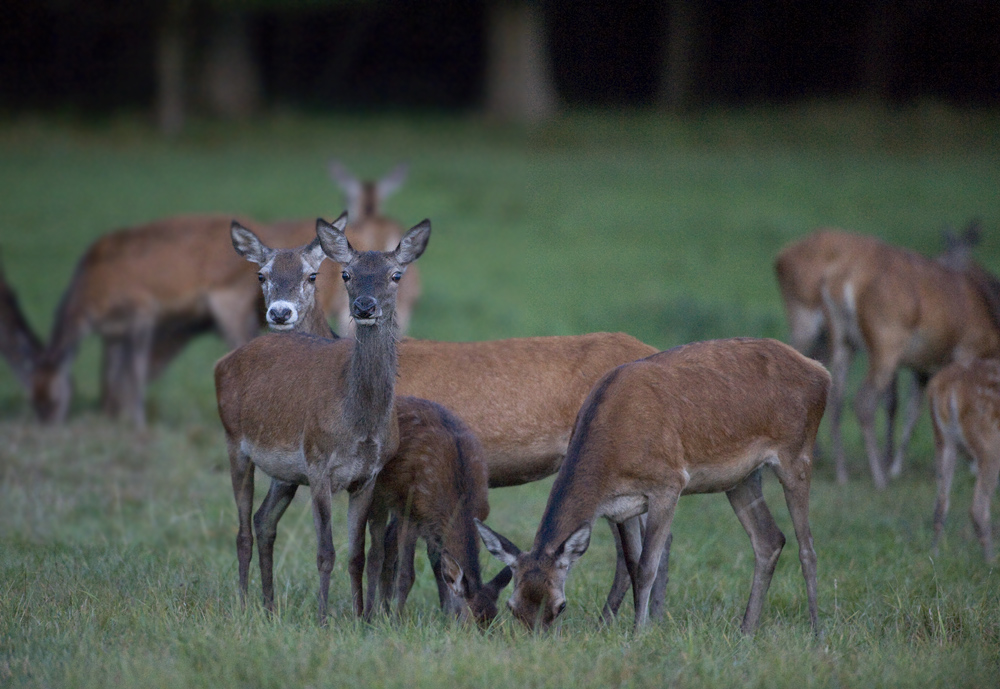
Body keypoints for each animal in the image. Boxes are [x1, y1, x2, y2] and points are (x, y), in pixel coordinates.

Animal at [215, 216, 426, 624]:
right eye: (346, 274)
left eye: (396, 274)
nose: (364, 306)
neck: (359, 424)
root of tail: (223, 362)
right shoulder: (318, 466)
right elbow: (326, 551)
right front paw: (324, 618)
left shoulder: (367, 477)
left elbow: (358, 554)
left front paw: (362, 619)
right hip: (235, 443)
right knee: (243, 528)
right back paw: (245, 604)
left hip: (283, 471)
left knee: (264, 520)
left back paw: (269, 605)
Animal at [364, 396, 512, 628]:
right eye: (472, 619)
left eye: (494, 619)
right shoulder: (410, 512)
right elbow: (407, 575)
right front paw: (398, 621)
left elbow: (442, 573)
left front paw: (447, 619)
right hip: (377, 493)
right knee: (375, 554)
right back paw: (370, 616)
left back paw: (383, 612)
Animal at [476, 336, 828, 632]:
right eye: (512, 606)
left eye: (560, 606)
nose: (536, 640)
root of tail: (820, 372)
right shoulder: (620, 507)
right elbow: (632, 564)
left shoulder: (668, 483)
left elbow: (647, 566)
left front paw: (639, 633)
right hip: (742, 479)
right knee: (769, 540)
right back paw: (746, 630)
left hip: (797, 454)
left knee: (808, 547)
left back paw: (816, 630)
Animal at [924, 358, 1000, 560]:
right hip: (990, 442)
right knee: (978, 508)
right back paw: (990, 560)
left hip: (943, 439)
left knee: (940, 503)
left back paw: (934, 553)